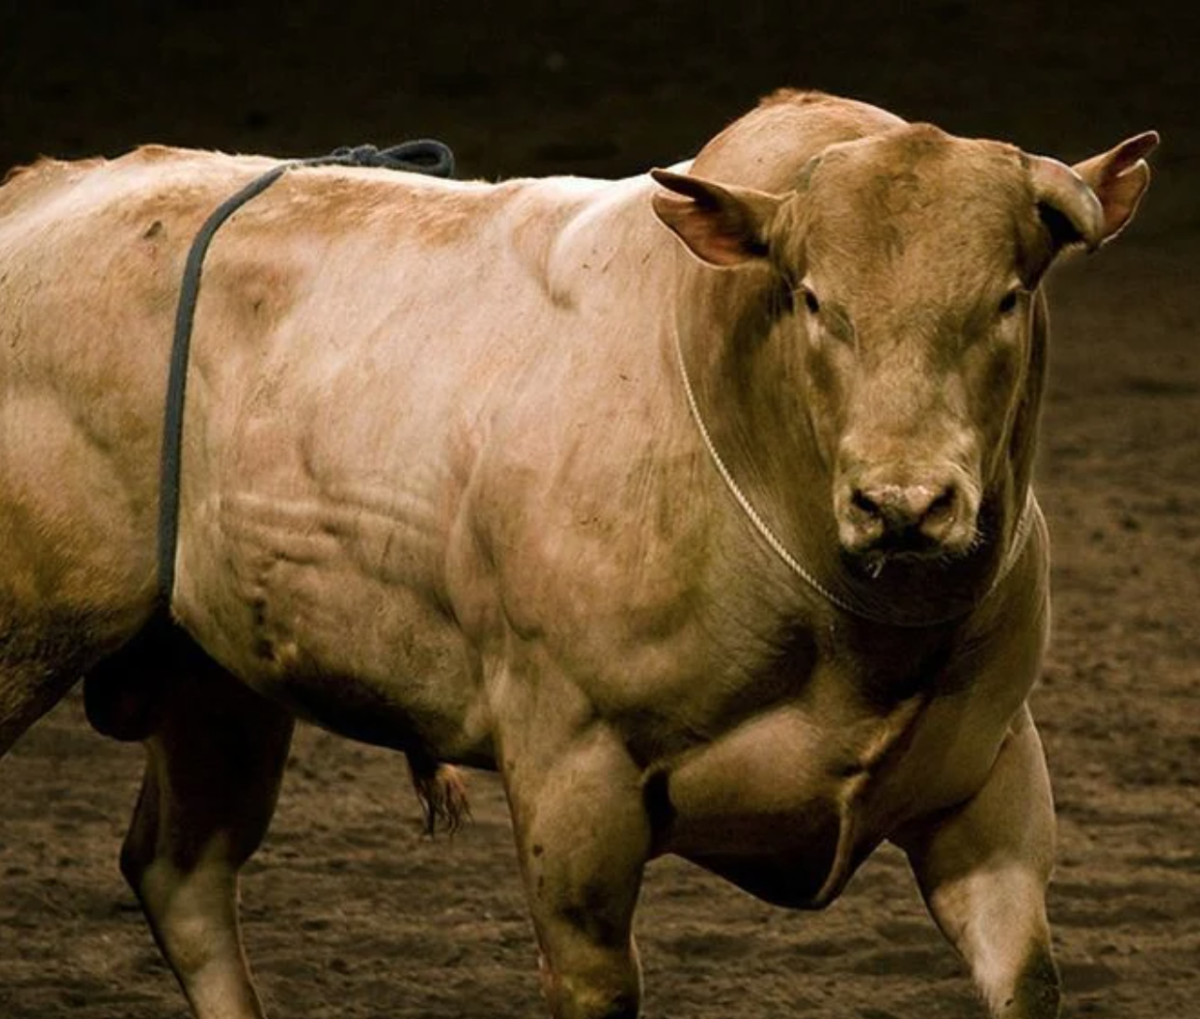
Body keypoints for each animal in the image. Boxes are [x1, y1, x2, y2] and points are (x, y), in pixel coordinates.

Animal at [0, 89, 1155, 1018]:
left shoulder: (992, 788)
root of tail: (36, 194)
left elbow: (1025, 974)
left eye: (1006, 296)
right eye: (815, 298)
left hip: (218, 676)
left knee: (180, 873)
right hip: (33, 636)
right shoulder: (573, 781)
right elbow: (596, 982)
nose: (903, 504)